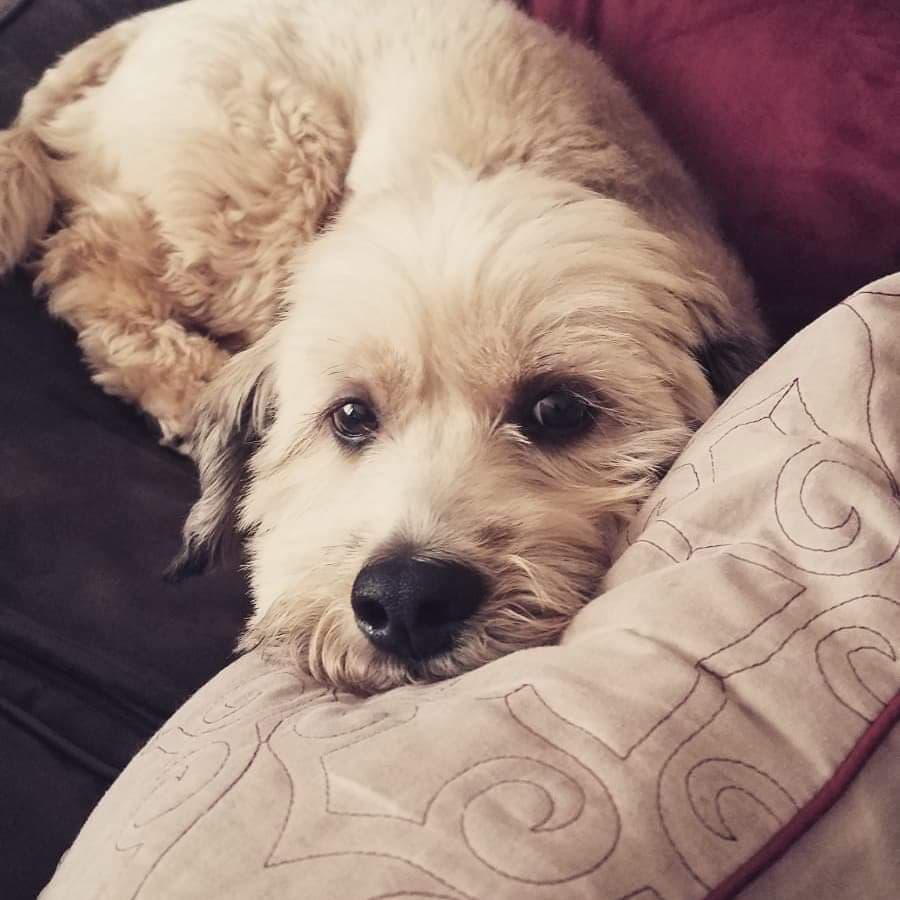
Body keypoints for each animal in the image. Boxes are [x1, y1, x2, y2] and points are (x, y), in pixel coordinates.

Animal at [0, 0, 768, 693]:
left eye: (559, 410)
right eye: (350, 415)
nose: (404, 600)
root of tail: (144, 24)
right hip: (269, 183)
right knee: (86, 264)